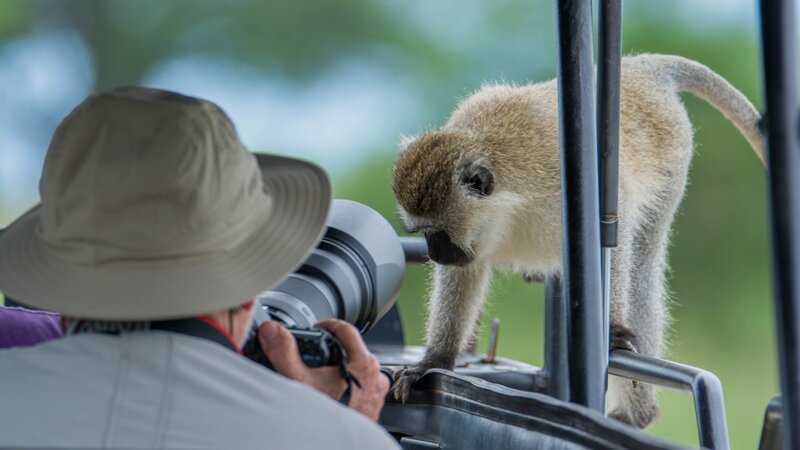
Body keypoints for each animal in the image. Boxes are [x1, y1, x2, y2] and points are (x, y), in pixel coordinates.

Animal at [390, 54, 764, 428]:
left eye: (438, 233)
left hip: (672, 161)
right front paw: (435, 360)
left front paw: (614, 329)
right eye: (423, 234)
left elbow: (615, 229)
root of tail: (640, 68)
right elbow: (464, 274)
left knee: (642, 268)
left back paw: (638, 414)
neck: (508, 202)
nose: (435, 254)